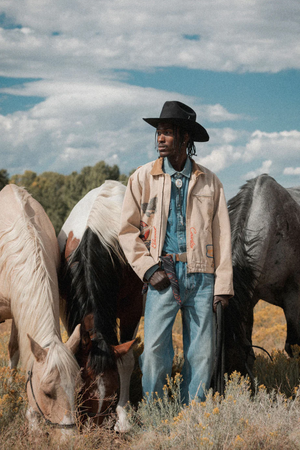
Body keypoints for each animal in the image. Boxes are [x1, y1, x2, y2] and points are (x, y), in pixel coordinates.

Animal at [58, 181, 144, 430]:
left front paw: (123, 416)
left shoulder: (133, 309)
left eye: (113, 388)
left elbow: (126, 360)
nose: (94, 425)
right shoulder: (68, 308)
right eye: (84, 387)